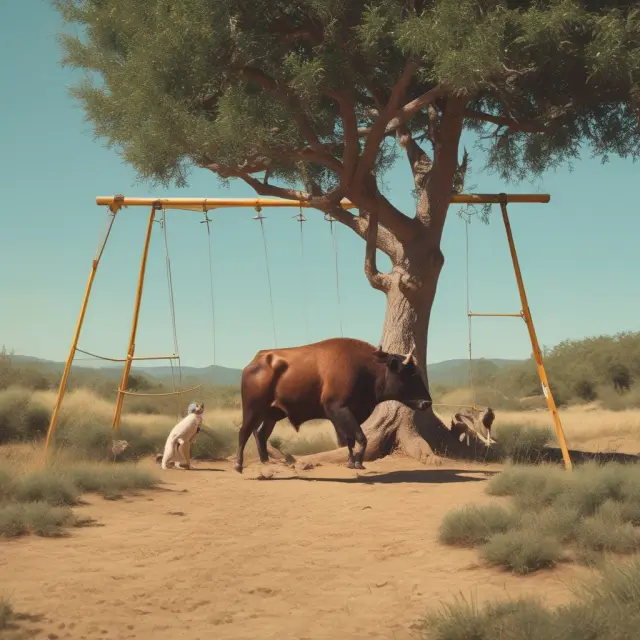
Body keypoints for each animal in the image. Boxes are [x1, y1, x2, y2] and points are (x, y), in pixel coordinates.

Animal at [233, 337, 433, 473]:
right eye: (410, 374)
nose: (427, 402)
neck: (364, 368)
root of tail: (257, 360)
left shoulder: (349, 414)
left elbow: (350, 439)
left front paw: (351, 462)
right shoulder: (338, 410)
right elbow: (360, 437)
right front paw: (358, 462)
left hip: (273, 414)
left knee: (260, 434)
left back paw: (266, 461)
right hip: (252, 409)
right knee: (244, 432)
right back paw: (238, 464)